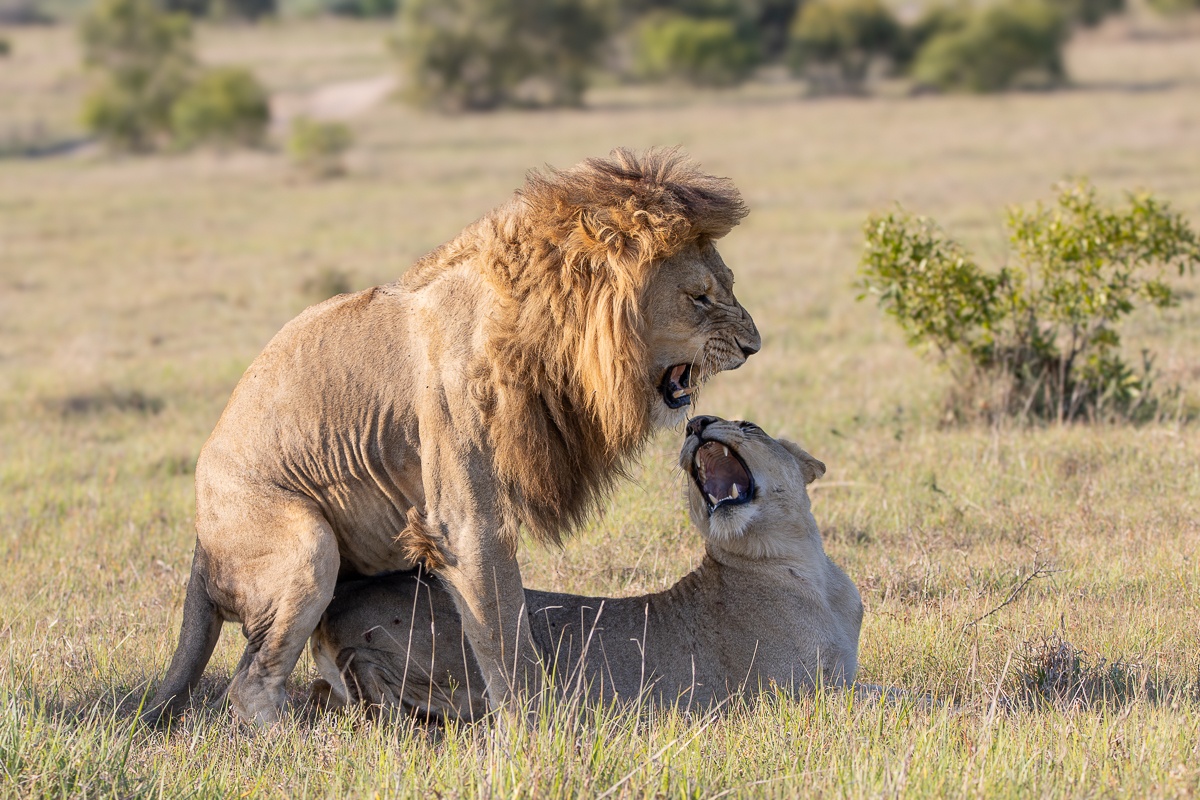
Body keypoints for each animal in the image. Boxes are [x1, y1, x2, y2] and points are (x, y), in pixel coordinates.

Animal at [143, 149, 761, 725]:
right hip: (306, 545)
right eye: (700, 297)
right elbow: (505, 635)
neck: (546, 337)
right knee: (248, 684)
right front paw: (540, 728)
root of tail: (199, 546)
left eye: (728, 286)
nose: (754, 346)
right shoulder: (467, 521)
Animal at [307, 416, 863, 718]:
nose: (695, 423)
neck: (802, 565)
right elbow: (884, 697)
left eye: (750, 427)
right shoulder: (796, 692)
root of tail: (338, 599)